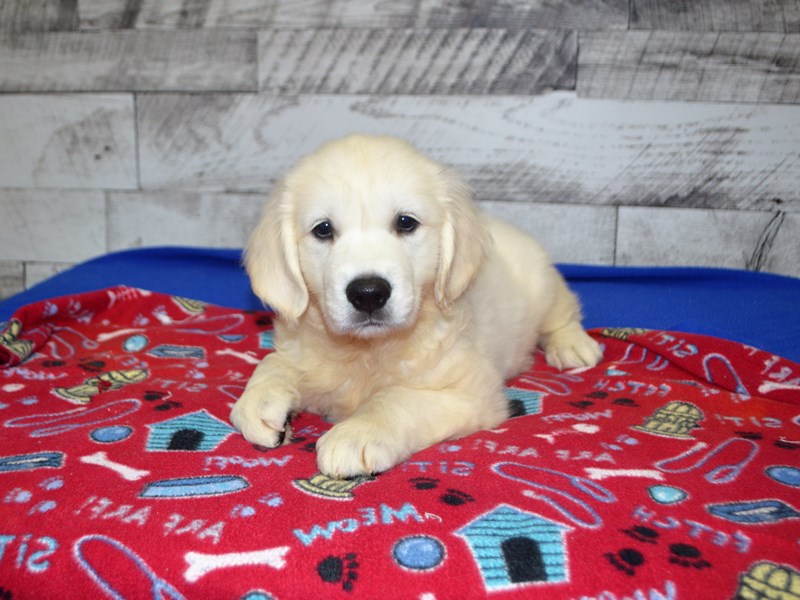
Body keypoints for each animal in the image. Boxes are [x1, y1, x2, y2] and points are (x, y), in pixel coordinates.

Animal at [230, 135, 600, 478]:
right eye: (323, 229)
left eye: (406, 223)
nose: (368, 293)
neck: (365, 351)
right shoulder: (304, 351)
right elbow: (273, 363)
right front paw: (258, 400)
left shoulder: (472, 391)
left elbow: (397, 397)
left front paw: (357, 433)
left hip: (544, 283)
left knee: (564, 312)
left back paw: (573, 345)